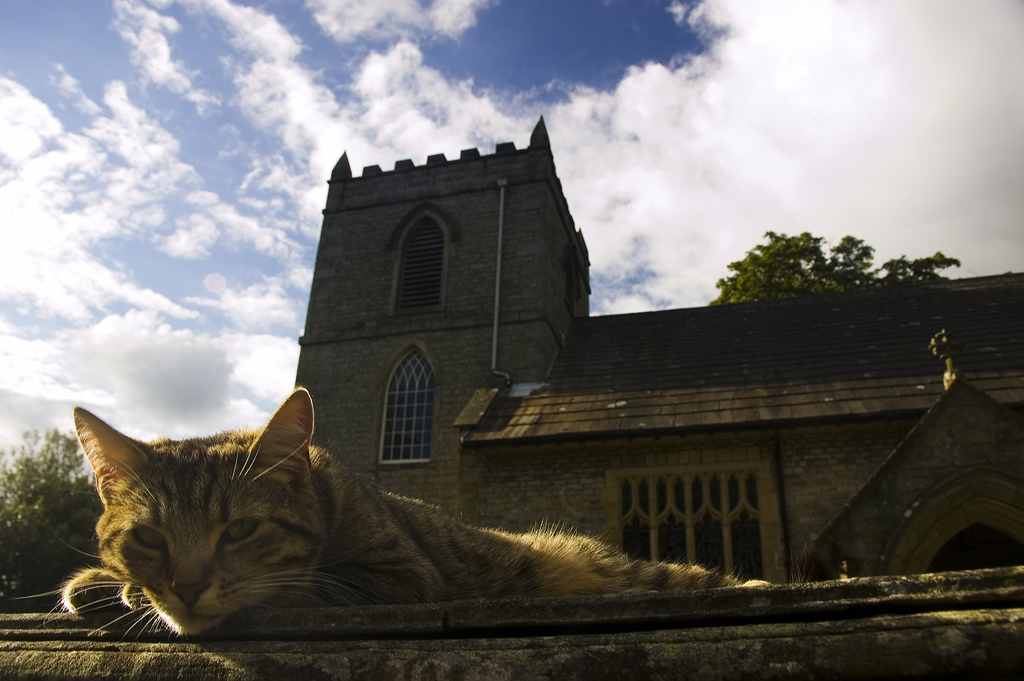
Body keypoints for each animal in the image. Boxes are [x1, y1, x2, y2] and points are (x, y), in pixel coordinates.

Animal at [62, 388, 767, 635]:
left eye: (240, 529)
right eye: (148, 538)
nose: (185, 587)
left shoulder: (400, 576)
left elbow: (294, 587)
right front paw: (105, 585)